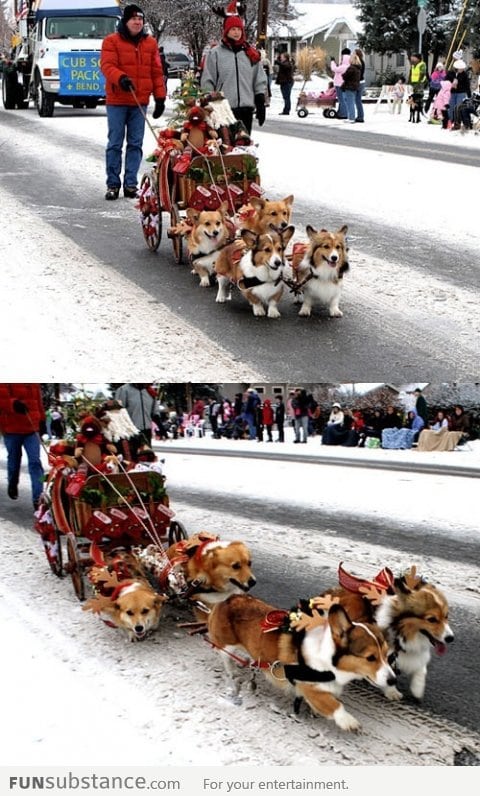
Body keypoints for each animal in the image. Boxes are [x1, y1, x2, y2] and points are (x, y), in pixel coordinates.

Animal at [208, 592, 396, 732]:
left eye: (387, 655)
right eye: (371, 657)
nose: (393, 680)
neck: (327, 658)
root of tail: (229, 598)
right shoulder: (310, 688)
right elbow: (334, 705)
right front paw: (348, 721)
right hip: (227, 644)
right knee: (224, 656)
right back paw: (233, 671)